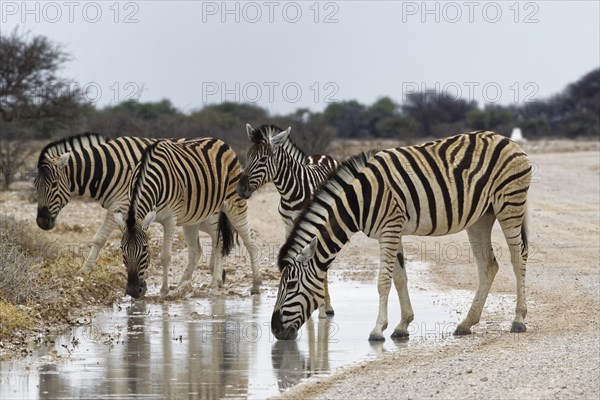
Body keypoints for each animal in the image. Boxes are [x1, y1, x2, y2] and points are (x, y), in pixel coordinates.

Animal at [34, 133, 223, 292]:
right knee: (200, 247)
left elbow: (99, 238)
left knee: (217, 239)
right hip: (194, 217)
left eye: (53, 185)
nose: (42, 222)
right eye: (35, 186)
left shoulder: (120, 205)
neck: (107, 170)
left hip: (211, 213)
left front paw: (85, 269)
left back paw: (217, 277)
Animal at [115, 138, 260, 296]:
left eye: (145, 249)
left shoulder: (170, 219)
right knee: (201, 247)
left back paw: (250, 284)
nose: (134, 291)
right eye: (122, 249)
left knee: (245, 240)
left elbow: (165, 257)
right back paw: (184, 283)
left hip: (232, 204)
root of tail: (220, 142)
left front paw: (164, 290)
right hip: (195, 217)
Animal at [234, 123, 338, 318]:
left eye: (263, 159)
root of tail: (323, 155)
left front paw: (320, 307)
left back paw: (327, 307)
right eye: (247, 156)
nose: (240, 190)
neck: (292, 194)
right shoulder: (288, 225)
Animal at [272, 131, 528, 340]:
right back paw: (466, 323)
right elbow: (400, 278)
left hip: (509, 205)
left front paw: (377, 330)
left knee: (518, 259)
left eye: (291, 285)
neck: (359, 200)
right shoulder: (391, 232)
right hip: (481, 217)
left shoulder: (390, 229)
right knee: (488, 265)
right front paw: (402, 325)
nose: (275, 330)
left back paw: (518, 320)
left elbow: (383, 282)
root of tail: (507, 139)